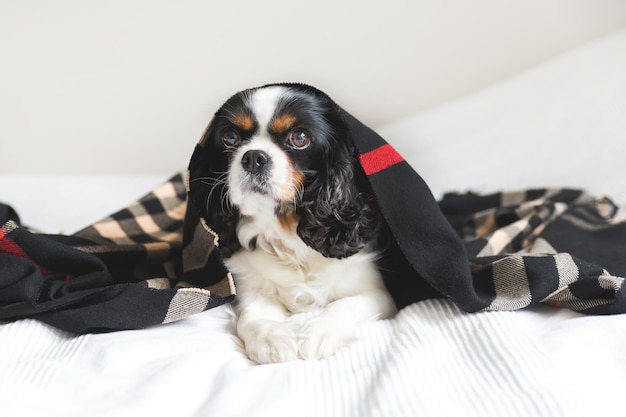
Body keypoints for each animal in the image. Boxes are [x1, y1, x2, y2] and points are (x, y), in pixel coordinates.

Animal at [195, 83, 394, 362]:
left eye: (300, 138)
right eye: (230, 137)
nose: (253, 157)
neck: (286, 230)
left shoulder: (377, 293)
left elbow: (347, 304)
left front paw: (318, 334)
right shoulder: (251, 287)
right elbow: (251, 314)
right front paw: (270, 339)